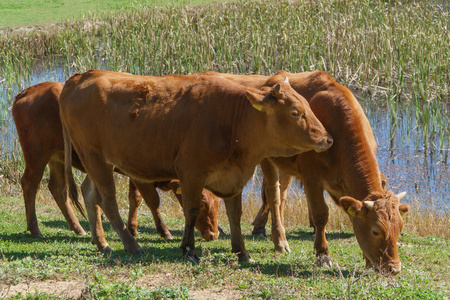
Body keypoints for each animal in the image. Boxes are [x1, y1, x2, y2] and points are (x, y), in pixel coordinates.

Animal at [11, 82, 220, 241]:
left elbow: (135, 198)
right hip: (37, 154)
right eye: (202, 203)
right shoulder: (139, 175)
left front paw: (133, 228)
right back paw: (35, 229)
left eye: (217, 203)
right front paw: (164, 231)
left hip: (58, 158)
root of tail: (28, 91)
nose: (214, 234)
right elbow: (153, 201)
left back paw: (78, 228)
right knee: (30, 184)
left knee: (58, 189)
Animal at [59, 69, 332, 262]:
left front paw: (241, 252)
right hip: (95, 159)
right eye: (296, 112)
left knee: (90, 195)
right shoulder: (191, 174)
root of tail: (83, 75)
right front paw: (188, 249)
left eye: (309, 106)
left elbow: (235, 216)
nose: (327, 139)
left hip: (96, 163)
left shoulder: (233, 177)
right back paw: (132, 245)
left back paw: (102, 243)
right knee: (107, 202)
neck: (232, 120)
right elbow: (190, 211)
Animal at [201, 70, 412, 274]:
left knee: (282, 195)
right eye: (376, 231)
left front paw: (367, 261)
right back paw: (279, 240)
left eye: (399, 229)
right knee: (273, 195)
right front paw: (322, 255)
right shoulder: (312, 178)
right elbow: (321, 215)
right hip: (268, 159)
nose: (393, 268)